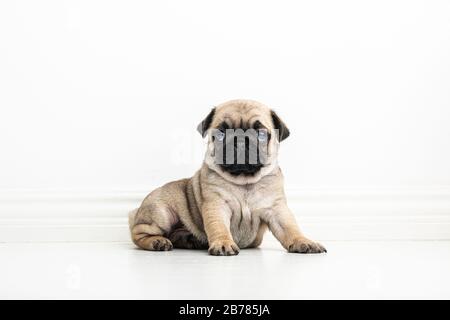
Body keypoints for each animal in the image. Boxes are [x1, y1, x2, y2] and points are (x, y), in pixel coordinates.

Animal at [128, 99, 326, 255]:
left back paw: (190, 239)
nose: (240, 140)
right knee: (139, 232)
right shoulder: (217, 206)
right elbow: (219, 227)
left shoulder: (277, 210)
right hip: (161, 212)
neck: (244, 181)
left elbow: (291, 228)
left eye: (261, 134)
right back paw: (157, 241)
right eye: (221, 133)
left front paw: (303, 241)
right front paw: (223, 243)